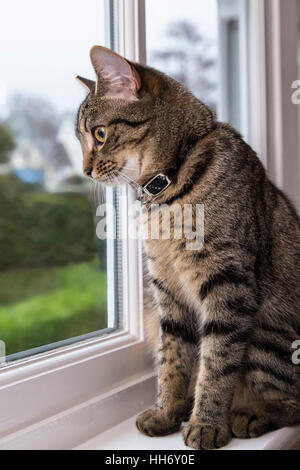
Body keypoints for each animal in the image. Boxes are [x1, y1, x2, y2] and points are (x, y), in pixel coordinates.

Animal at [75, 46, 300, 450]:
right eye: (81, 139)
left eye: (99, 134)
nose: (85, 170)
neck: (167, 188)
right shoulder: (167, 292)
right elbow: (172, 358)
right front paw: (167, 410)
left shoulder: (228, 285)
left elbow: (217, 362)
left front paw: (207, 422)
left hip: (265, 331)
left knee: (292, 400)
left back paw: (250, 414)